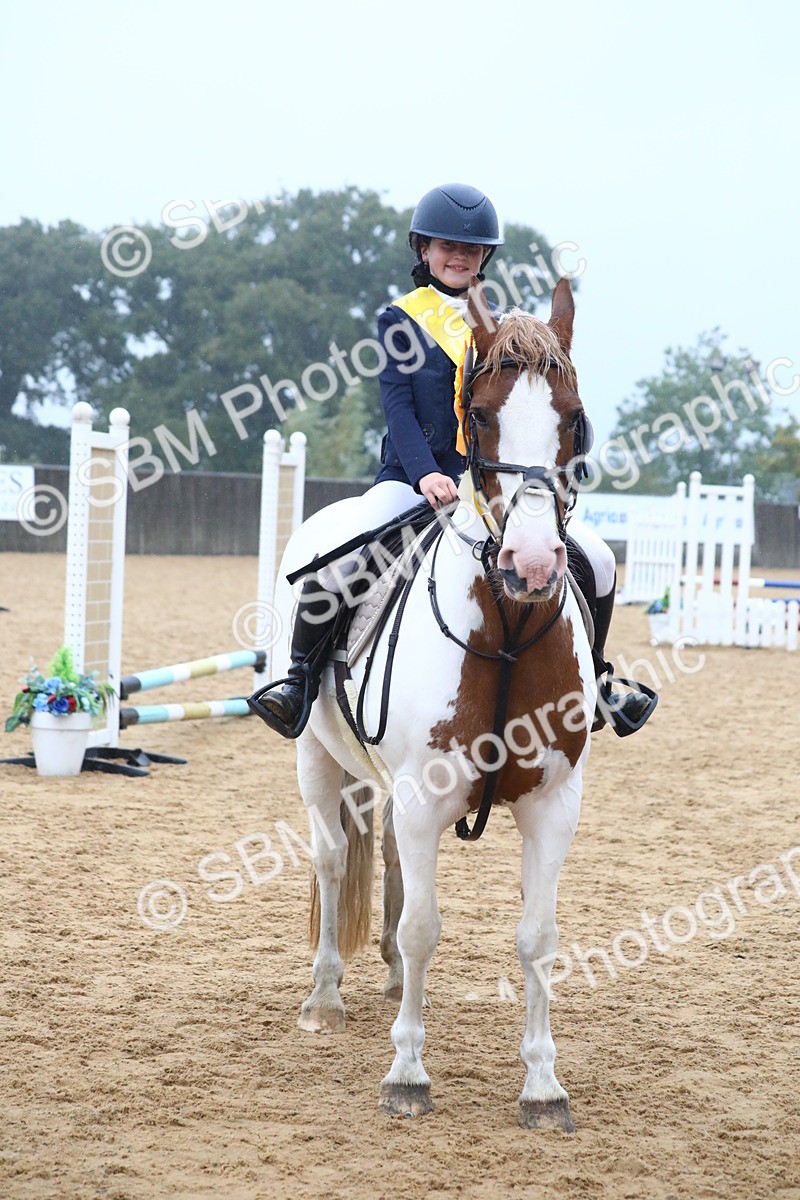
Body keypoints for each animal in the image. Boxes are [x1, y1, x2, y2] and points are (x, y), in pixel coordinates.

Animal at [270, 277, 594, 1131]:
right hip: (314, 756)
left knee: (380, 853)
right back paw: (325, 999)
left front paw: (543, 1086)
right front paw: (408, 1075)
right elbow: (423, 927)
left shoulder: (553, 804)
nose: (531, 564)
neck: (508, 629)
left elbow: (538, 936)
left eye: (573, 416)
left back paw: (383, 981)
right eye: (478, 413)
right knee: (331, 856)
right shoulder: (422, 798)